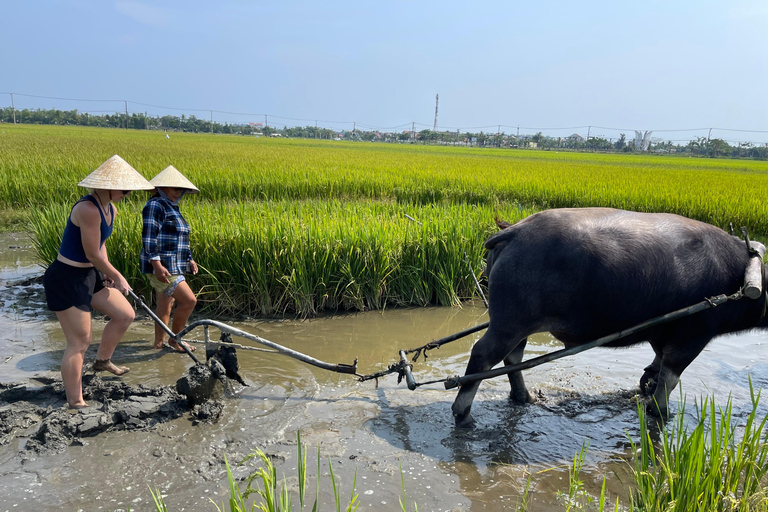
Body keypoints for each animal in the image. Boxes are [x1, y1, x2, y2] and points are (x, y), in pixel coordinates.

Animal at [452, 208, 764, 428]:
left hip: (517, 325)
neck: (742, 278)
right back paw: (463, 414)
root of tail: (513, 231)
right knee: (482, 357)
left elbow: (657, 366)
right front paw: (662, 413)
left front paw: (646, 385)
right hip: (509, 322)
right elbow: (670, 379)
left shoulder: (661, 334)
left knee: (513, 358)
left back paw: (524, 398)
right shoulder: (693, 336)